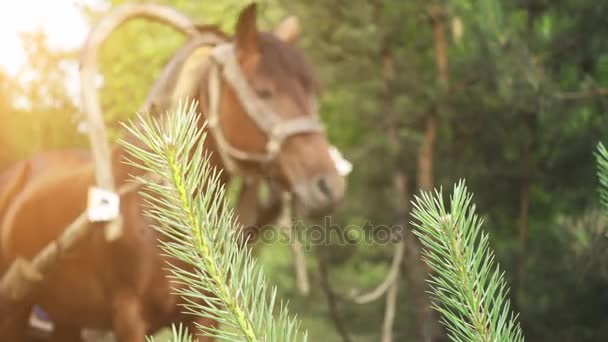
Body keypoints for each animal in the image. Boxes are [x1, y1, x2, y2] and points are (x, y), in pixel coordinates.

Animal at [0, 3, 342, 342]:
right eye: (263, 92)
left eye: (310, 92)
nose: (328, 184)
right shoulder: (128, 316)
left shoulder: (205, 316)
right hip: (18, 310)